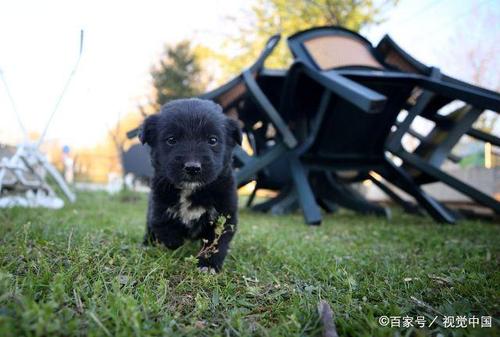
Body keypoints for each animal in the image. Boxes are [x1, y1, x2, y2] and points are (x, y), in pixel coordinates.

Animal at [140, 98, 241, 272]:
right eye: (171, 140)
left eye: (213, 140)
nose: (192, 167)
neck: (192, 190)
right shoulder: (158, 205)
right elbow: (164, 228)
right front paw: (174, 243)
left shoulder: (225, 215)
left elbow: (216, 243)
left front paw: (208, 265)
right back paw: (147, 244)